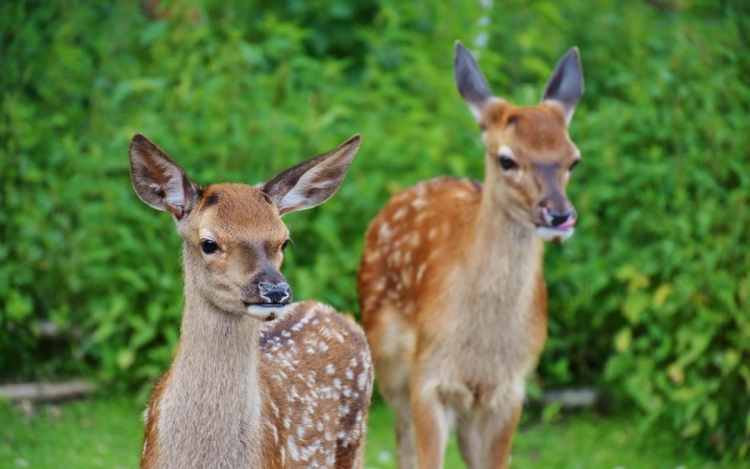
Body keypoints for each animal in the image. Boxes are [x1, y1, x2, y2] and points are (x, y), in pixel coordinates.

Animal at [358, 41, 588, 468]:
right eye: (506, 158)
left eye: (573, 159)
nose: (559, 214)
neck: (481, 351)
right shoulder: (429, 376)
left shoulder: (510, 388)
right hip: (388, 358)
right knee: (402, 434)